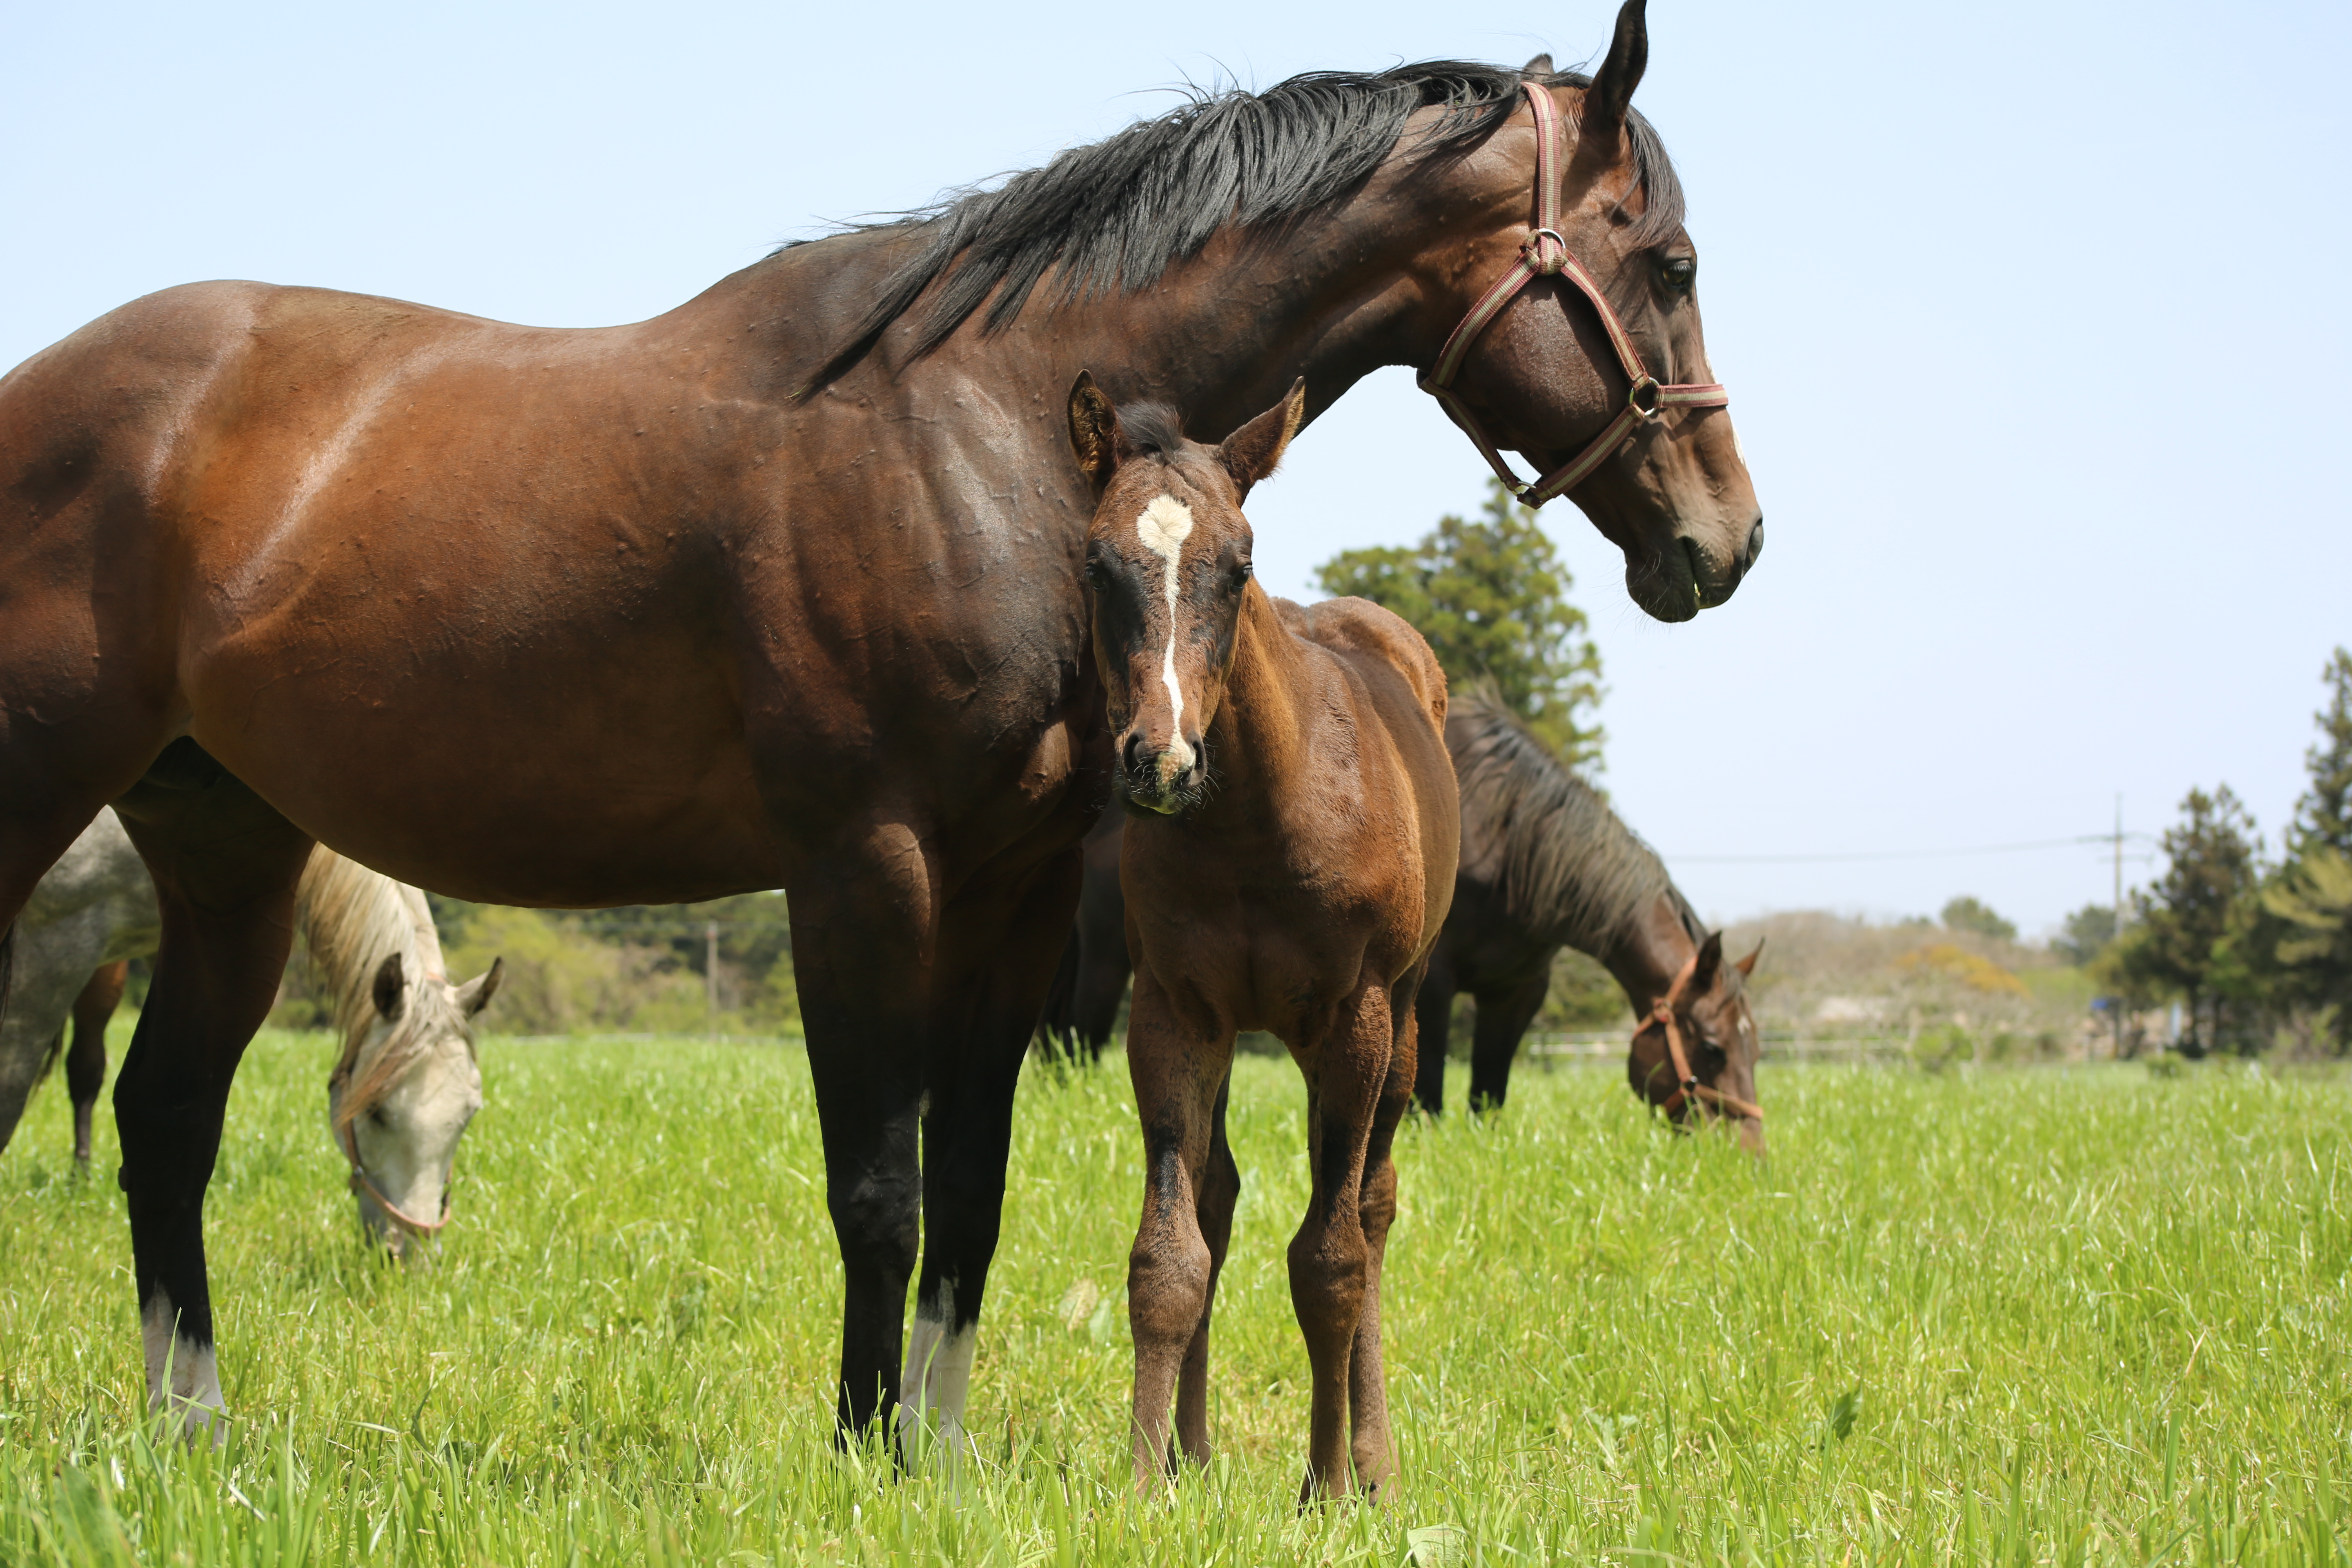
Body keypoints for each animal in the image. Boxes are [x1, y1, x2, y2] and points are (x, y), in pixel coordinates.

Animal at [1077, 374, 1458, 1504]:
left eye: (1239, 563)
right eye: (1095, 562)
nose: (1160, 761)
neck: (1254, 818)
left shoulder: (1354, 1021)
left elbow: (1328, 1258)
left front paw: (1327, 1486)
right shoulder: (1172, 1012)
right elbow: (1169, 1252)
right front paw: (1145, 1482)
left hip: (1403, 1024)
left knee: (1370, 1208)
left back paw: (1372, 1462)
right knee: (1219, 1195)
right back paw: (1194, 1453)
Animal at [1401, 691, 1759, 1147]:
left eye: (1758, 1048)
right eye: (1714, 1048)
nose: (1748, 1152)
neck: (1503, 840)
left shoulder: (1518, 989)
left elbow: (1489, 1092)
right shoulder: (1433, 980)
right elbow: (1427, 1088)